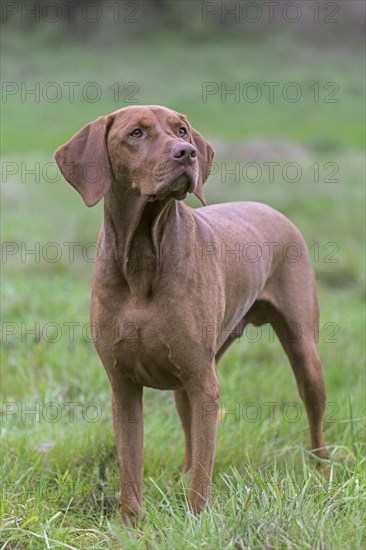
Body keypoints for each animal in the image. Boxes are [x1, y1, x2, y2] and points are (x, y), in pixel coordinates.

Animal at [53, 104, 326, 528]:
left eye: (181, 130)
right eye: (135, 133)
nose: (187, 153)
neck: (143, 253)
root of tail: (270, 208)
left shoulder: (204, 383)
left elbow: (204, 473)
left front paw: (198, 522)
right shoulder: (123, 386)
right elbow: (130, 469)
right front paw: (131, 525)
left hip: (301, 350)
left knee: (313, 412)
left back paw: (321, 473)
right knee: (188, 432)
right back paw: (180, 475)